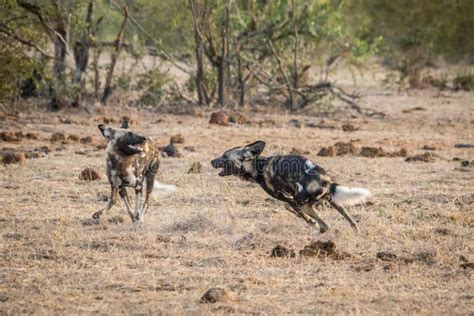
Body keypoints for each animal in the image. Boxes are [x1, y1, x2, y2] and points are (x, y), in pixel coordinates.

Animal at [210, 142, 370, 233]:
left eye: (224, 157)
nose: (211, 161)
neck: (258, 166)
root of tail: (326, 180)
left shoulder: (288, 198)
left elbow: (292, 209)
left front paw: (311, 222)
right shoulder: (291, 198)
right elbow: (291, 209)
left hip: (304, 203)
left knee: (325, 226)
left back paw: (317, 231)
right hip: (334, 202)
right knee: (352, 222)